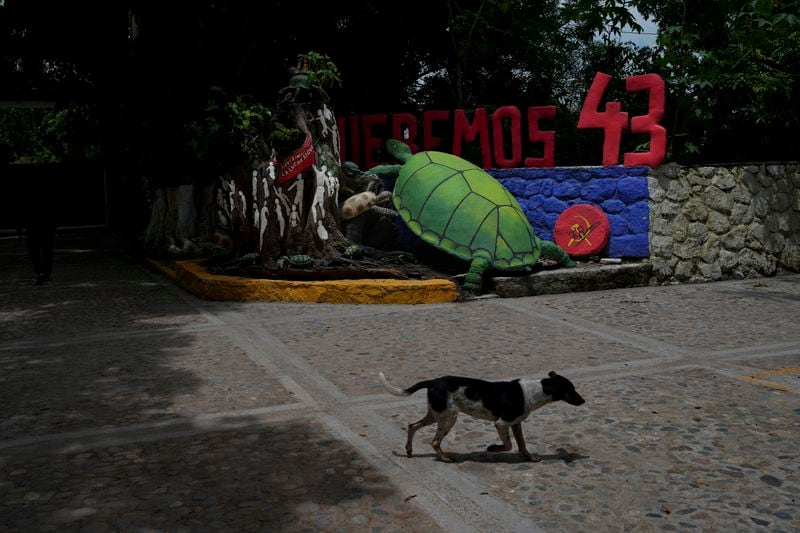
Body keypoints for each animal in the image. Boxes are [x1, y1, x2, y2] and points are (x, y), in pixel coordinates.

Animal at [378, 370, 584, 462]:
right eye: (572, 390)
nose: (584, 401)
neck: (537, 390)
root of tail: (433, 382)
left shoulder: (516, 424)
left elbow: (522, 445)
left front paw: (530, 457)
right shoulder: (502, 423)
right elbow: (508, 445)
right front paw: (492, 448)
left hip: (435, 415)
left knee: (412, 425)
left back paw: (409, 450)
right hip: (449, 418)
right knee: (435, 441)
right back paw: (444, 458)